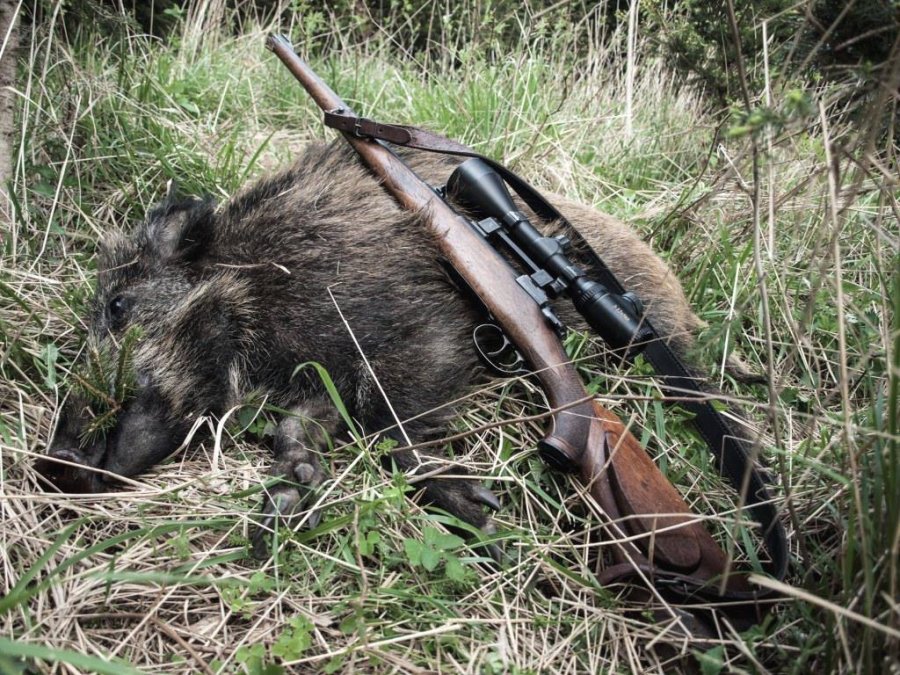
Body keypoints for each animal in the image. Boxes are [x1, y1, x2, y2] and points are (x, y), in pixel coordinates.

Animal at [34, 141, 709, 556]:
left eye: (118, 306)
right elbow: (297, 427)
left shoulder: (425, 335)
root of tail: (687, 311)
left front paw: (484, 516)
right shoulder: (319, 378)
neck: (256, 284)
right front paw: (287, 504)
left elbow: (391, 426)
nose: (53, 463)